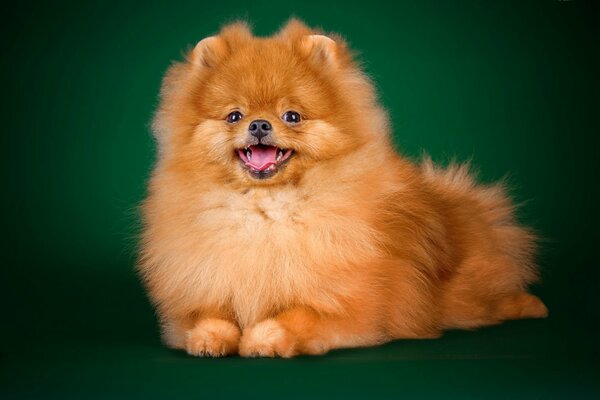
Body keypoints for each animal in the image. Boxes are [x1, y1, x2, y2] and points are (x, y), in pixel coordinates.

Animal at [139, 18, 548, 358]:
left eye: (292, 116)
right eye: (234, 116)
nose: (258, 124)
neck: (267, 211)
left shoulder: (354, 308)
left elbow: (299, 315)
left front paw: (265, 337)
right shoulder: (205, 285)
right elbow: (209, 314)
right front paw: (209, 338)